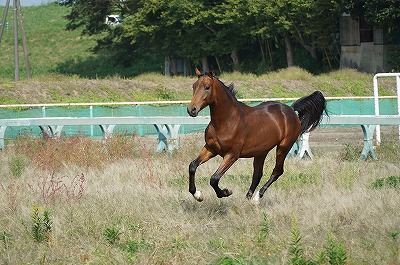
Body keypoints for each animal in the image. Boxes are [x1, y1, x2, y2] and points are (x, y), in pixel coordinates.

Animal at [186, 67, 326, 201]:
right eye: (193, 86)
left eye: (207, 87)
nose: (191, 110)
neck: (226, 121)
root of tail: (291, 110)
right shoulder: (211, 149)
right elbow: (192, 166)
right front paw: (197, 195)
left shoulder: (232, 155)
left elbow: (214, 178)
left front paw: (225, 192)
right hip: (261, 152)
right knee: (257, 175)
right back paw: (247, 199)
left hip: (283, 147)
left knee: (277, 171)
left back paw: (256, 198)